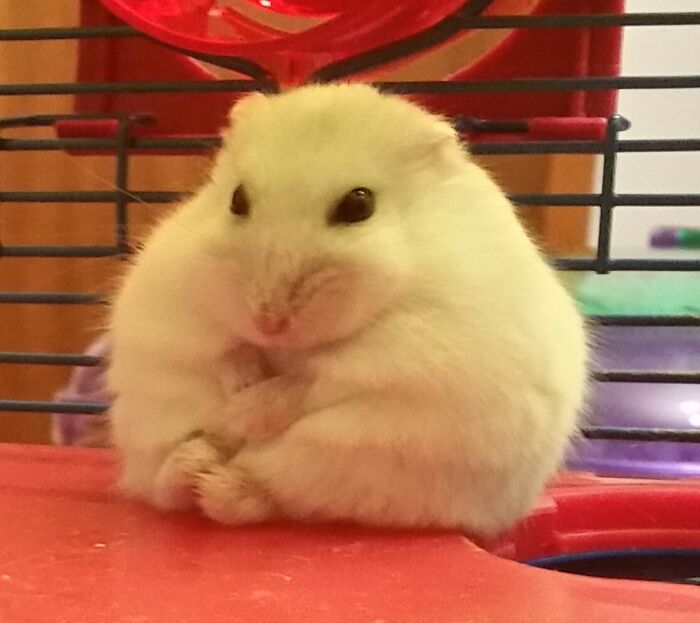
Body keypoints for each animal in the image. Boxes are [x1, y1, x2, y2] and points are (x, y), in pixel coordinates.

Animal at [108, 83, 587, 535]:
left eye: (359, 204)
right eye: (236, 199)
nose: (269, 321)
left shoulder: (411, 347)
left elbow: (318, 376)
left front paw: (244, 414)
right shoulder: (174, 309)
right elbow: (222, 349)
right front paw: (236, 396)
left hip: (352, 465)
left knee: (275, 495)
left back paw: (218, 479)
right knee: (164, 486)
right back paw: (194, 459)